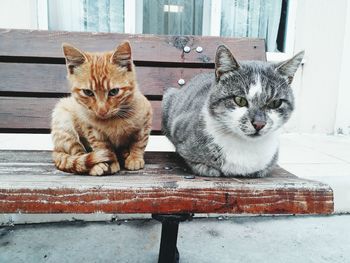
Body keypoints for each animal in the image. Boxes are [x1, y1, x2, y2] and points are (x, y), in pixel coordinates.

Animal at [51, 42, 152, 176]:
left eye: (114, 91)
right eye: (88, 92)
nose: (102, 111)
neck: (113, 120)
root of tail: (55, 149)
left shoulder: (145, 121)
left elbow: (139, 142)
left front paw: (135, 158)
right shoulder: (92, 130)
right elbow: (103, 147)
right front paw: (111, 162)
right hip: (63, 122)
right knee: (78, 153)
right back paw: (95, 166)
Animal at [161, 45, 304, 178]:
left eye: (275, 103)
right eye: (240, 100)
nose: (259, 124)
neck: (245, 146)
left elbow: (263, 170)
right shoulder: (181, 131)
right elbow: (190, 159)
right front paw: (207, 168)